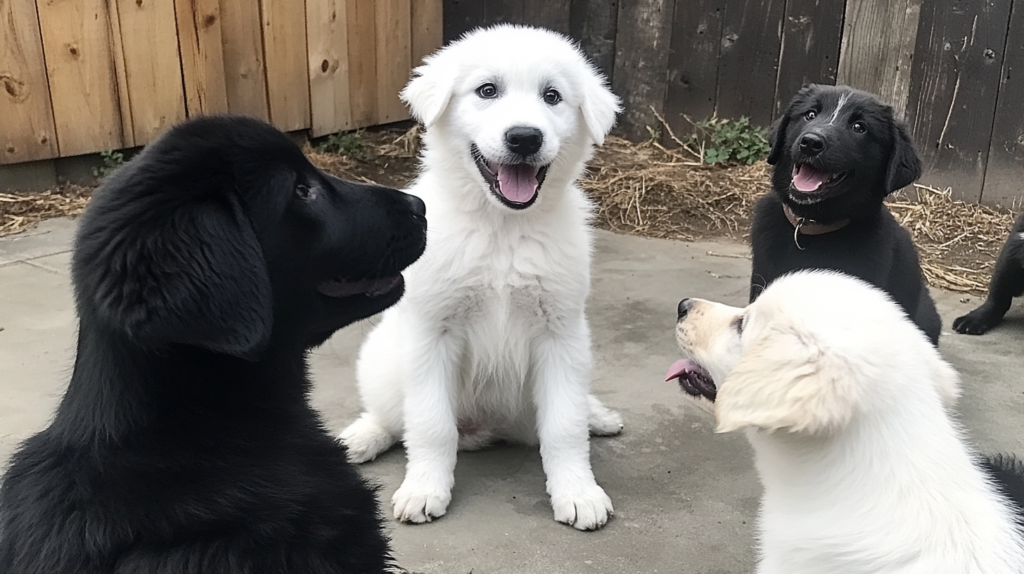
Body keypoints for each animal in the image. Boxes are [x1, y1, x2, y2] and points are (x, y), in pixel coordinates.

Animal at [339, 24, 618, 532]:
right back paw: (360, 438)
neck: (502, 226)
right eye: (487, 91)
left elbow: (564, 427)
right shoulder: (433, 334)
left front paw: (578, 492)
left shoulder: (561, 333)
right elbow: (430, 425)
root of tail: (486, 429)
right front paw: (424, 489)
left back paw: (598, 416)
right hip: (381, 357)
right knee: (393, 418)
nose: (525, 138)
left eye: (552, 96)